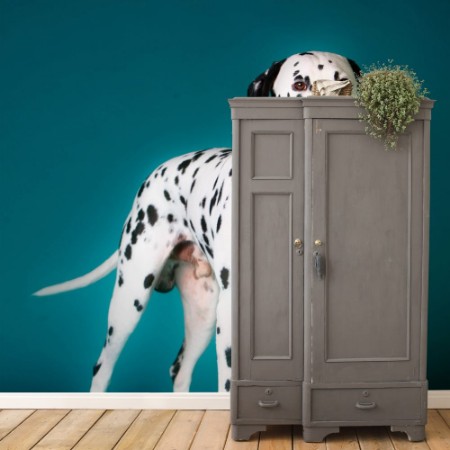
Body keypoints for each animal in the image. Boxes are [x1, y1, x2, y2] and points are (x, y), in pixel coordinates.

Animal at [34, 51, 358, 392]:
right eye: (299, 84)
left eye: (344, 85)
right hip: (131, 297)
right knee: (103, 366)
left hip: (202, 313)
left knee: (180, 368)